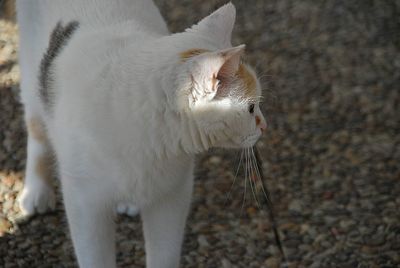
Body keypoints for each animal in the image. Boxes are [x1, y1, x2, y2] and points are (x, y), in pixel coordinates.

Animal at [16, 1, 266, 266]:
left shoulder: (173, 194)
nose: (264, 126)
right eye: (251, 108)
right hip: (31, 82)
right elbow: (95, 257)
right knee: (36, 132)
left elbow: (164, 255)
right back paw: (37, 191)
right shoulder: (85, 204)